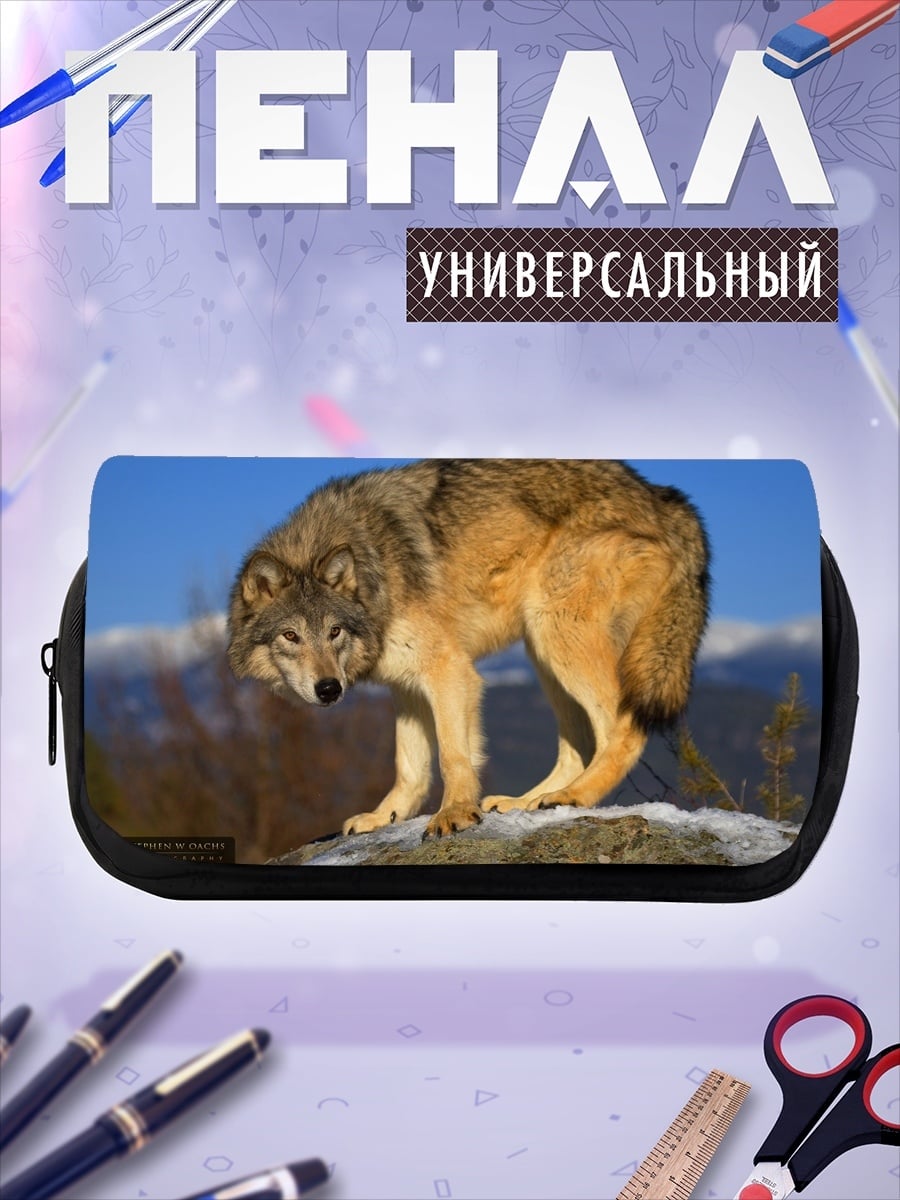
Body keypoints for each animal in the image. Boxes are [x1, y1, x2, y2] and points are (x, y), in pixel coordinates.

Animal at [227, 460, 710, 839]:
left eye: (334, 631)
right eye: (291, 636)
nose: (329, 689)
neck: (373, 565)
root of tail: (664, 497)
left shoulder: (448, 670)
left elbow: (453, 755)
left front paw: (455, 813)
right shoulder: (406, 686)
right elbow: (410, 766)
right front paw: (385, 817)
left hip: (557, 633)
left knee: (621, 729)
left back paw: (574, 796)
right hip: (543, 652)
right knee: (579, 745)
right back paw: (528, 801)